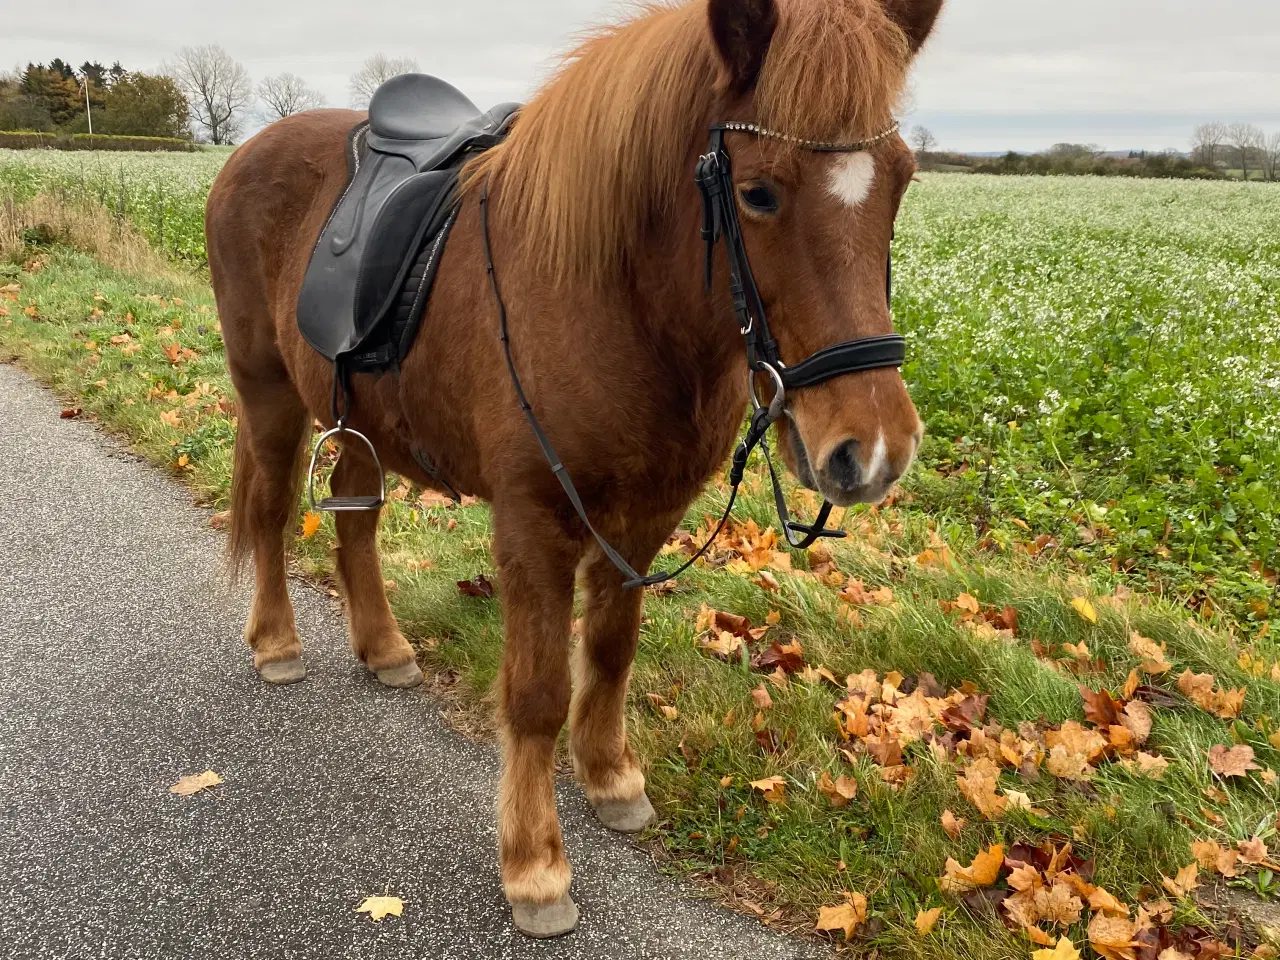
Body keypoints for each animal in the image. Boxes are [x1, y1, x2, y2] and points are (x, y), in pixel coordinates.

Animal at [202, 0, 942, 942]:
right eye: (758, 192)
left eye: (902, 181)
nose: (872, 451)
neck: (613, 298)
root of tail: (251, 151)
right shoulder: (533, 523)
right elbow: (538, 692)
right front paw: (534, 865)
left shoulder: (645, 518)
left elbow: (612, 651)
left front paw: (611, 778)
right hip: (267, 393)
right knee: (268, 511)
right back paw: (277, 644)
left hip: (362, 422)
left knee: (352, 519)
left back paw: (384, 647)